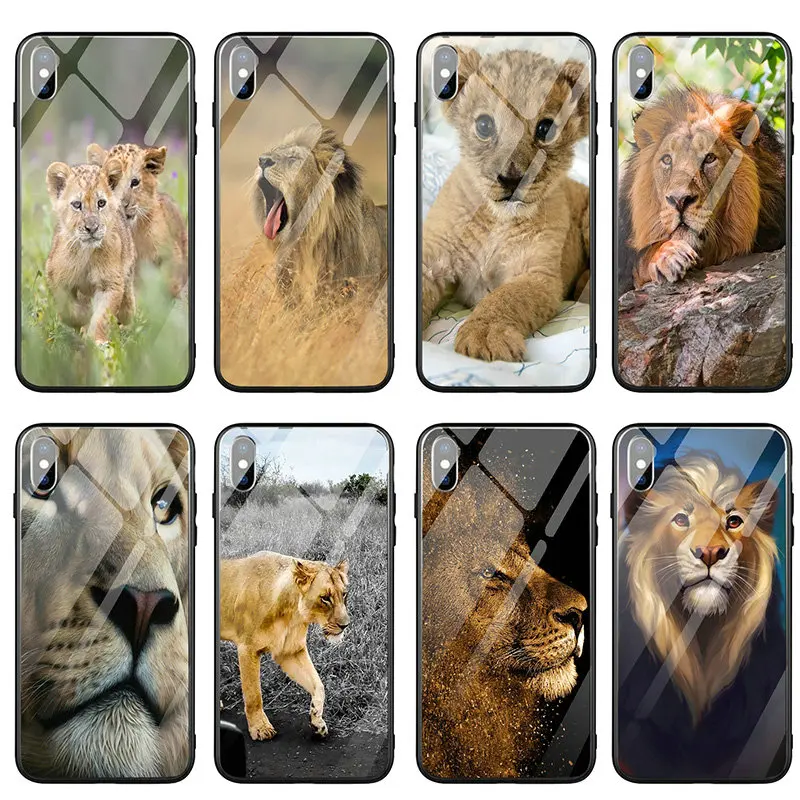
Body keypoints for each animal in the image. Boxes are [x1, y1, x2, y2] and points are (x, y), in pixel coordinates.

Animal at [45, 160, 136, 344]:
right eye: (77, 204)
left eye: (101, 203)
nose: (92, 228)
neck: (86, 253)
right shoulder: (54, 277)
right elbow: (68, 308)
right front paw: (83, 317)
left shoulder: (110, 283)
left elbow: (102, 316)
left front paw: (97, 342)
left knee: (127, 309)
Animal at [220, 552, 350, 741]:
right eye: (325, 598)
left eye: (344, 594)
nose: (345, 625)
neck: (292, 613)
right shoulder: (247, 649)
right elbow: (253, 694)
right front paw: (260, 728)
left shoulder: (290, 651)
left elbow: (319, 685)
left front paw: (317, 721)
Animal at [422, 48, 591, 362]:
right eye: (484, 125)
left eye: (546, 128)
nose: (512, 179)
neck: (497, 220)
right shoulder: (432, 261)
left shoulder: (538, 275)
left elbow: (506, 298)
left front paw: (484, 335)